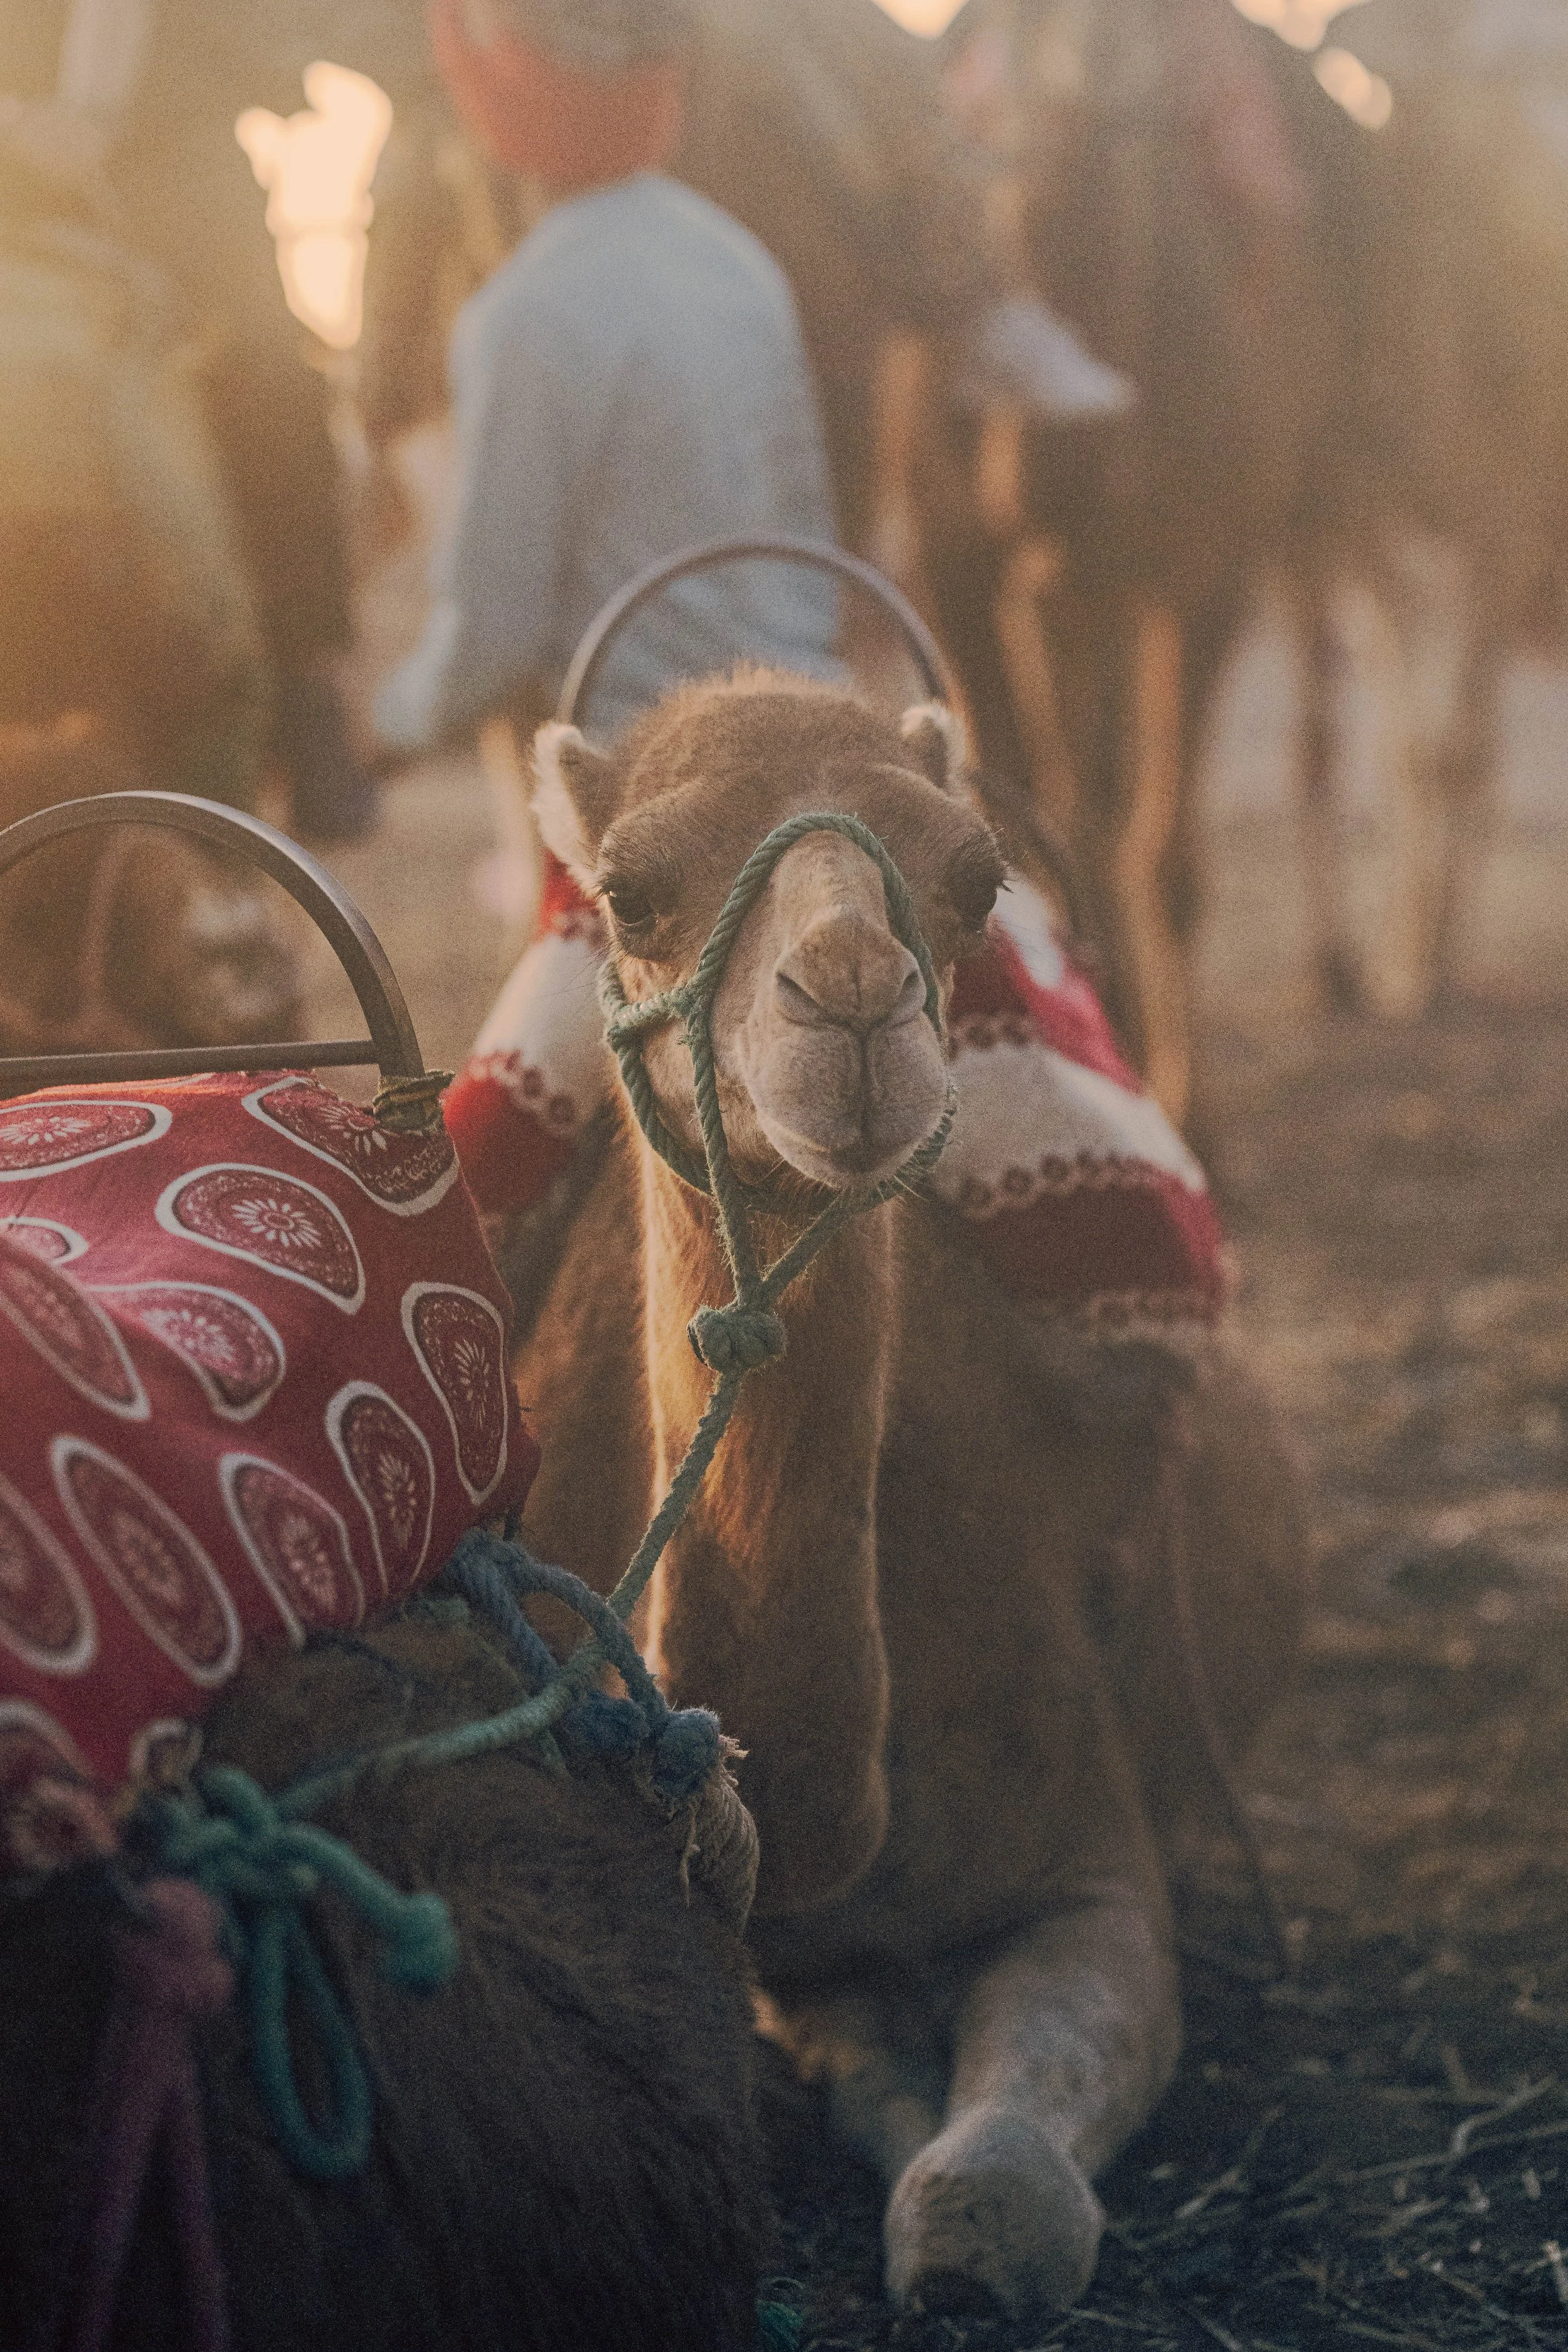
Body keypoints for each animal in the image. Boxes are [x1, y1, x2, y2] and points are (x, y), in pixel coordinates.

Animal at [510, 667, 1307, 2323]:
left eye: (976, 876)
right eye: (626, 889)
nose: (852, 999)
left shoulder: (1093, 1859)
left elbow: (995, 2198)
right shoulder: (795, 1952)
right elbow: (876, 2078)